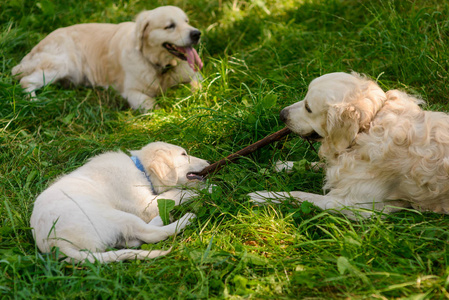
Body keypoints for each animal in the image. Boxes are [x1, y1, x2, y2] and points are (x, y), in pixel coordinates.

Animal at [10, 5, 203, 111]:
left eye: (186, 21)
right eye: (170, 26)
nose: (197, 34)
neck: (158, 64)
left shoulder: (195, 74)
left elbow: (198, 86)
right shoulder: (131, 92)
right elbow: (152, 105)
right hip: (62, 64)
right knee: (25, 81)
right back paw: (36, 102)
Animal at [29, 142, 208, 262]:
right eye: (184, 154)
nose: (208, 162)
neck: (140, 168)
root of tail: (57, 245)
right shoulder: (144, 204)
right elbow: (177, 193)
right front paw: (206, 189)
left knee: (134, 239)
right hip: (113, 216)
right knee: (150, 234)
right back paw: (185, 219)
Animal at [248, 72, 448, 219]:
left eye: (308, 108)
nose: (282, 114)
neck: (367, 127)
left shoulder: (356, 205)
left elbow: (299, 194)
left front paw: (262, 196)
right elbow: (319, 165)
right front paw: (284, 166)